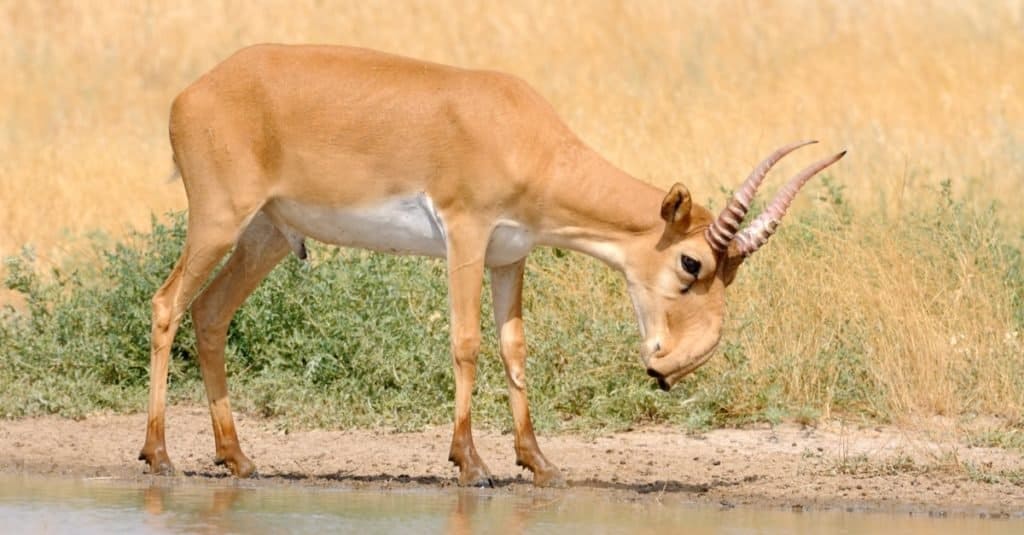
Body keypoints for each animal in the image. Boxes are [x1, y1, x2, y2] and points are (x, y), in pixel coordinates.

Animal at [140, 44, 843, 487]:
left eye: (732, 274)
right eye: (691, 262)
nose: (672, 365)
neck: (520, 132)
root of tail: (190, 94)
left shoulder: (510, 256)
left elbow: (515, 349)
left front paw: (540, 464)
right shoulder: (466, 235)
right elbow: (467, 342)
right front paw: (470, 464)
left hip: (266, 235)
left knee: (209, 314)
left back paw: (237, 459)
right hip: (219, 221)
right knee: (167, 303)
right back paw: (160, 455)